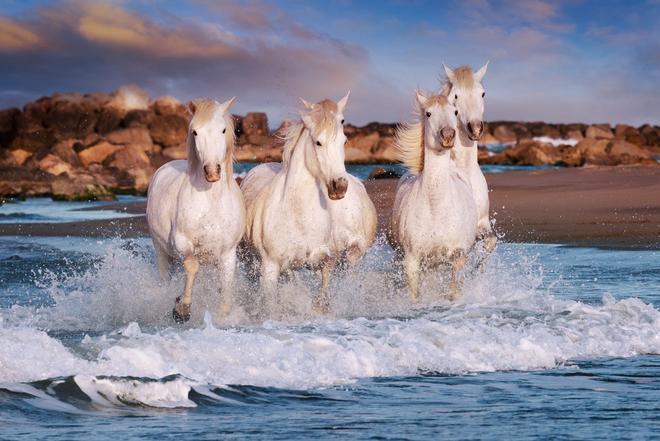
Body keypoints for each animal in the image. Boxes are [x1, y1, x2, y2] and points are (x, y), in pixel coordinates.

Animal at [146, 97, 245, 324]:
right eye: (195, 132)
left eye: (223, 130)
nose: (212, 172)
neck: (212, 201)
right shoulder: (182, 243)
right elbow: (192, 267)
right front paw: (181, 309)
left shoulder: (228, 252)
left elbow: (226, 284)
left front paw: (222, 316)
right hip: (161, 250)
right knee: (165, 276)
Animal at [241, 93, 376, 312]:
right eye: (318, 142)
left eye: (344, 141)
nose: (339, 186)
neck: (297, 215)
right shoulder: (270, 268)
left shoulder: (326, 261)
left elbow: (322, 298)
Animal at [390, 91, 476, 300]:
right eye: (428, 113)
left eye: (455, 111)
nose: (448, 136)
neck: (435, 207)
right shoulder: (412, 260)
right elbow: (414, 295)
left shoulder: (458, 256)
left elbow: (453, 290)